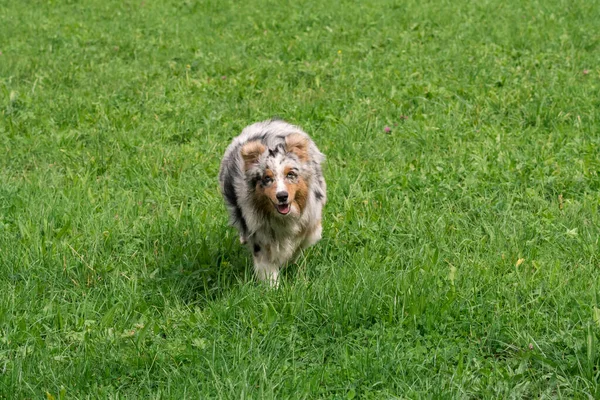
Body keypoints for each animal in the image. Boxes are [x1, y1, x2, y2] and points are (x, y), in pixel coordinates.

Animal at [218, 119, 326, 284]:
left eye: (290, 174)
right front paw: (273, 287)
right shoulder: (259, 234)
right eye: (267, 178)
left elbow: (297, 247)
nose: (282, 196)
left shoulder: (310, 225)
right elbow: (267, 268)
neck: (284, 218)